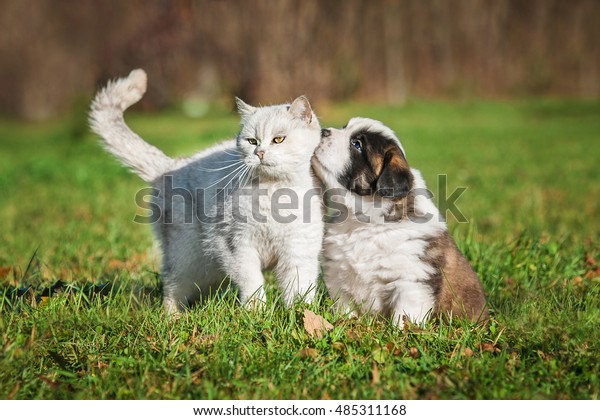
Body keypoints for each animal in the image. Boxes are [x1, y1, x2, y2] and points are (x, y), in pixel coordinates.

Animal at [89, 69, 324, 312]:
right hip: (189, 259)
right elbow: (253, 283)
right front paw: (256, 312)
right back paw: (173, 317)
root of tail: (171, 165)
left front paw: (300, 314)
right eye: (252, 141)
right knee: (171, 289)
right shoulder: (236, 246)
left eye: (278, 139)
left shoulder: (299, 251)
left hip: (209, 271)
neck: (273, 192)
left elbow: (299, 289)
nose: (259, 152)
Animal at [310, 116, 488, 326]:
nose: (323, 132)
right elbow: (345, 306)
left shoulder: (411, 281)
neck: (363, 220)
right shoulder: (339, 274)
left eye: (357, 145)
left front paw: (401, 331)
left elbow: (404, 315)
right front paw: (346, 323)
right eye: (345, 127)